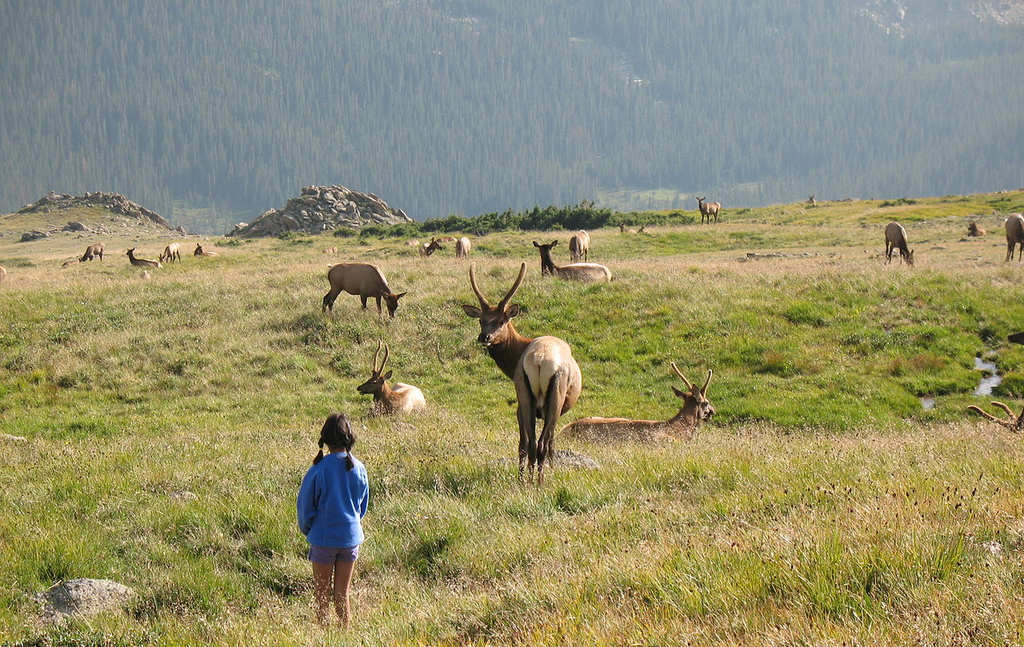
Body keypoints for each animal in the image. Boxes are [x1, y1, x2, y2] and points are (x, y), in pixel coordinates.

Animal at [464, 264, 585, 485]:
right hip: (555, 396)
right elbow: (550, 444)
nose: (484, 336)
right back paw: (538, 482)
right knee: (540, 444)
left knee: (529, 444)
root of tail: (539, 360)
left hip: (524, 392)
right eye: (481, 320)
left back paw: (526, 480)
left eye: (501, 321)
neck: (512, 363)